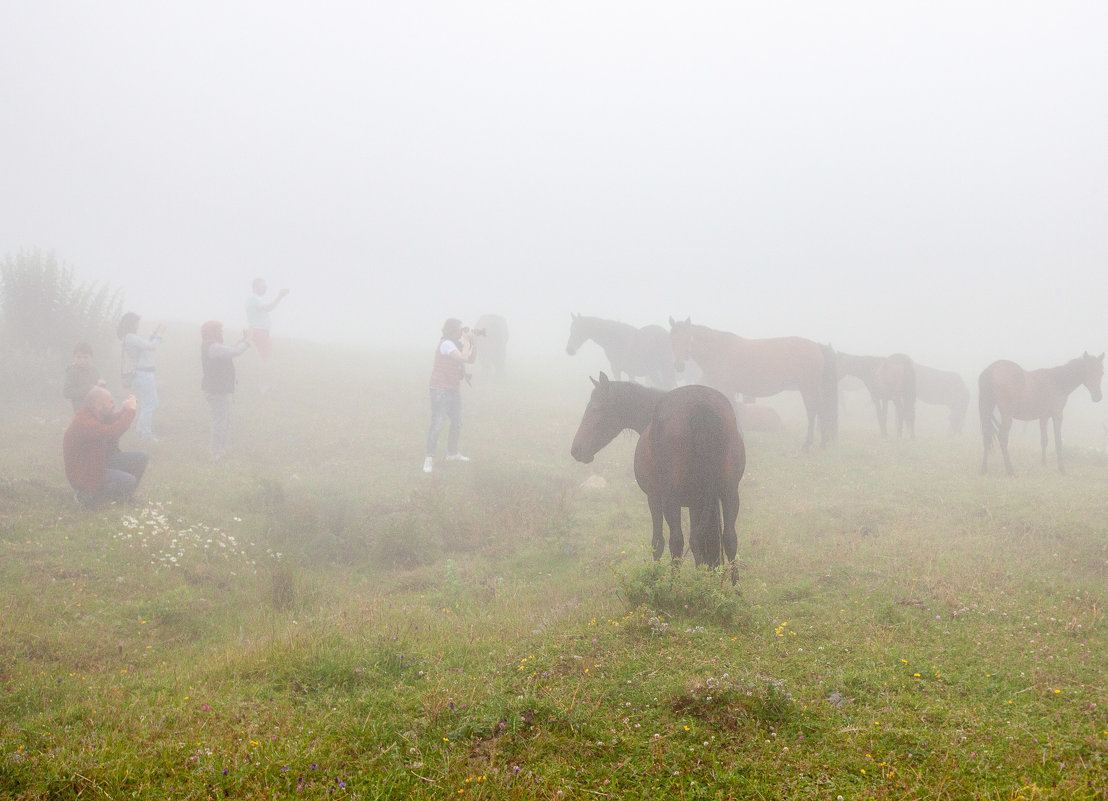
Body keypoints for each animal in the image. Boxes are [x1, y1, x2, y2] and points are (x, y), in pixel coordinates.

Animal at [571, 376, 744, 576]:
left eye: (595, 408)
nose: (576, 449)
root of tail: (700, 405)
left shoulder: (654, 498)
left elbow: (658, 542)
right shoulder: (697, 503)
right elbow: (702, 543)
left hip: (671, 501)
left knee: (676, 542)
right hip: (730, 493)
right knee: (729, 539)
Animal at [664, 316, 837, 447]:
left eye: (688, 339)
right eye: (672, 339)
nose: (679, 366)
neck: (719, 351)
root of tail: (816, 347)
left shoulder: (728, 389)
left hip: (807, 387)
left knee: (813, 410)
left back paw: (808, 444)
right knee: (820, 409)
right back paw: (822, 442)